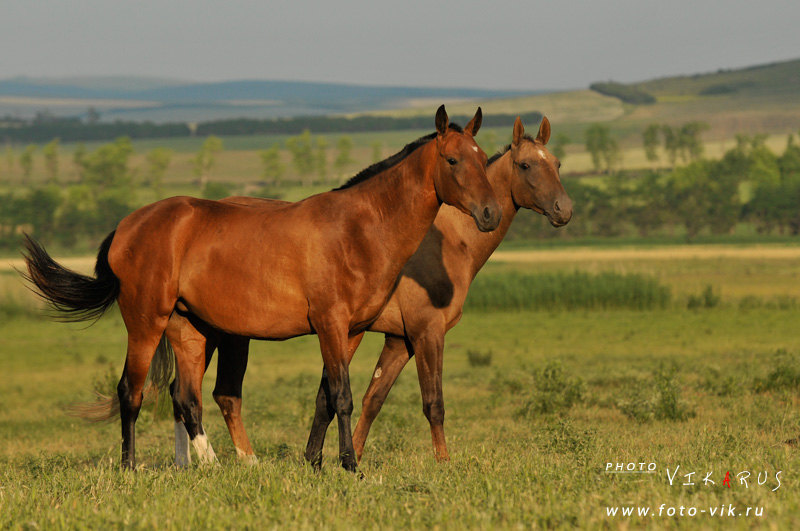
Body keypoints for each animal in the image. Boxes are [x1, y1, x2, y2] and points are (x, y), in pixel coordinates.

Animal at [21, 106, 500, 472]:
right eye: (453, 160)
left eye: (482, 159)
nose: (490, 214)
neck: (359, 229)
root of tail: (127, 225)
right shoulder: (330, 323)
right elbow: (343, 396)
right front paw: (349, 465)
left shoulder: (353, 331)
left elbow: (327, 397)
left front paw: (317, 463)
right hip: (145, 323)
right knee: (131, 392)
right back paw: (130, 467)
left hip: (189, 330)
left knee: (186, 397)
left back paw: (214, 466)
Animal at [169, 117, 568, 466]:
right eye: (526, 165)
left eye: (558, 163)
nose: (564, 210)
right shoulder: (426, 332)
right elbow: (432, 402)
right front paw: (442, 463)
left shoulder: (397, 339)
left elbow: (368, 399)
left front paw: (344, 457)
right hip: (227, 334)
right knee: (215, 394)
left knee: (183, 393)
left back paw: (188, 463)